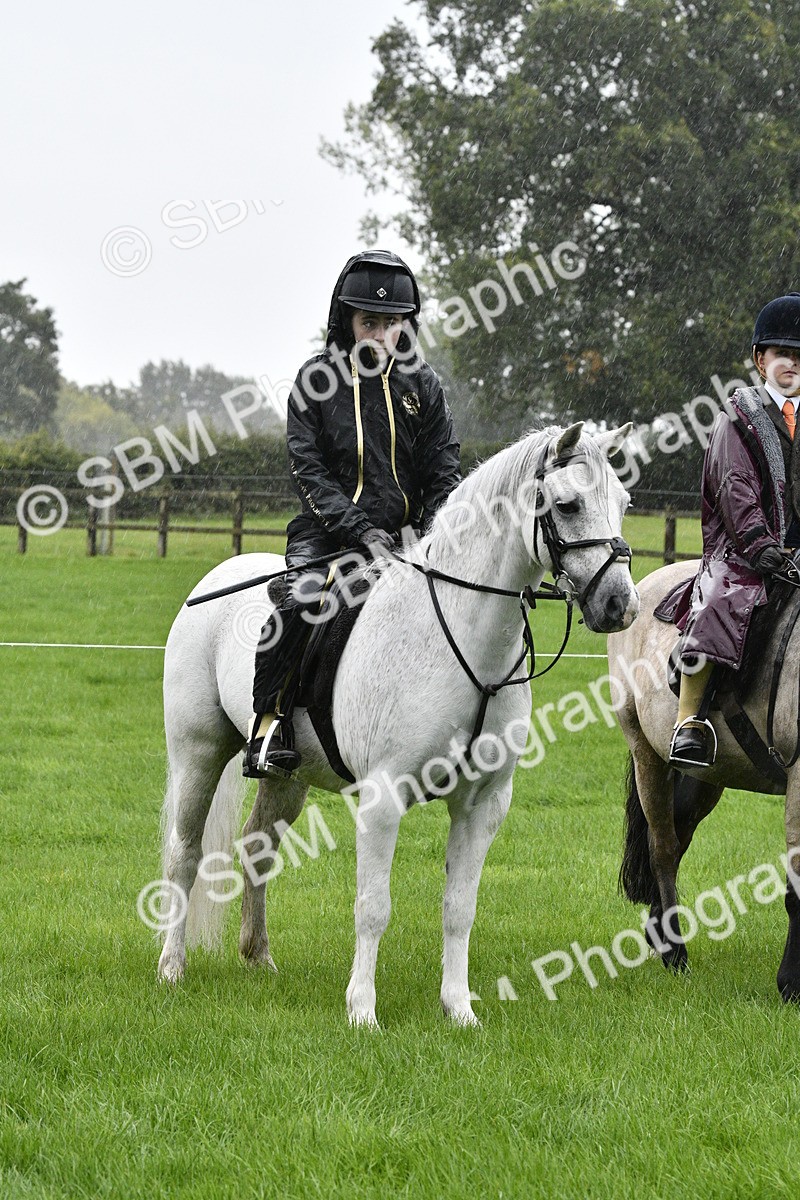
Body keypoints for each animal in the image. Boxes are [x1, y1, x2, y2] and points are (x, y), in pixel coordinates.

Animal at [156, 421, 639, 1027]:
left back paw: (258, 957)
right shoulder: (383, 798)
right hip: (197, 752)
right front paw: (363, 1011)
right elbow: (373, 908)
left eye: (623, 503)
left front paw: (459, 1009)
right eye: (568, 504)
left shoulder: (483, 803)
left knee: (256, 848)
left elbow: (460, 907)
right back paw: (171, 968)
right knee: (184, 852)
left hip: (287, 777)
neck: (460, 636)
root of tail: (218, 576)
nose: (620, 606)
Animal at [608, 560, 800, 1000]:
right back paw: (675, 953)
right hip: (646, 754)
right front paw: (791, 983)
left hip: (703, 778)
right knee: (662, 848)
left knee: (678, 837)